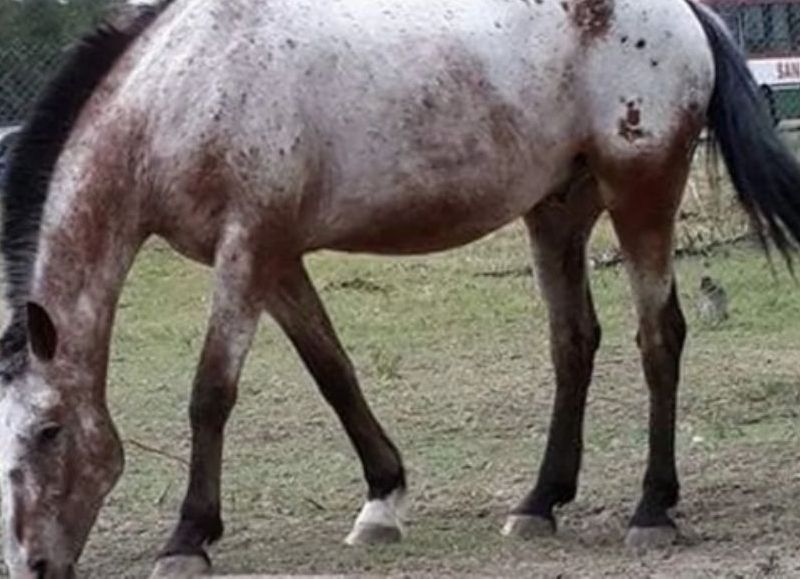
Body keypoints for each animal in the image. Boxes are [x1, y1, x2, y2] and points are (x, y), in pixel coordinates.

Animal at [1, 0, 799, 577]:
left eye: (49, 431)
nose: (32, 564)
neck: (183, 86)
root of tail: (687, 12)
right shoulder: (278, 259)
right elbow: (334, 372)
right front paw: (382, 500)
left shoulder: (247, 250)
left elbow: (211, 394)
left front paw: (188, 537)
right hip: (557, 212)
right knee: (573, 344)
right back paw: (539, 502)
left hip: (641, 196)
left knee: (658, 336)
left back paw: (652, 510)